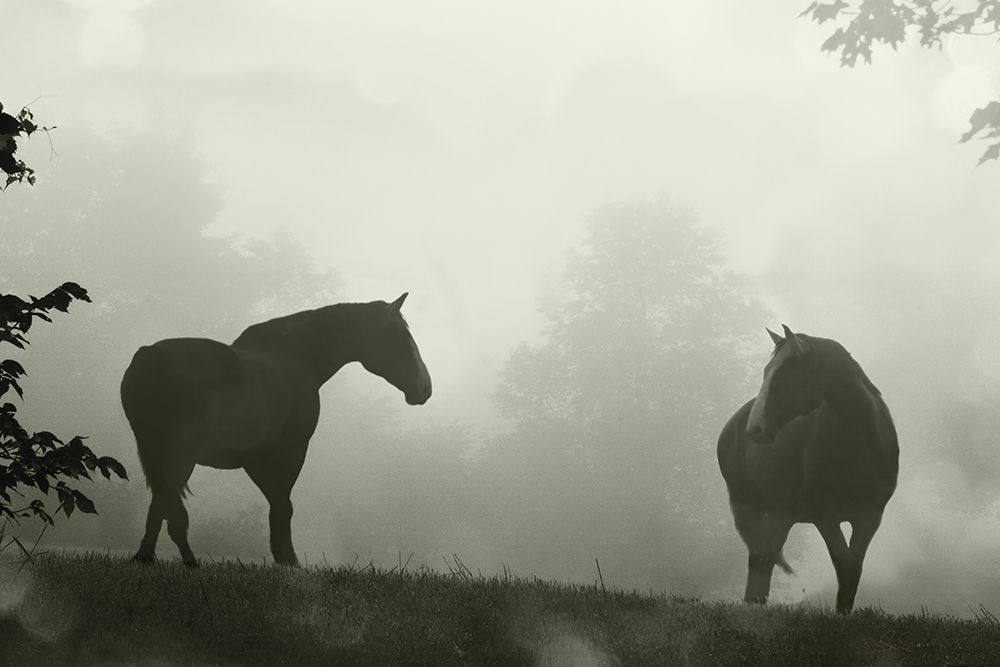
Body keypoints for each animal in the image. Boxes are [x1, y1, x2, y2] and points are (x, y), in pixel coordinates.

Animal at [120, 293, 431, 567]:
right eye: (401, 335)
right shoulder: (289, 451)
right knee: (166, 502)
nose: (425, 388)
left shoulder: (256, 459)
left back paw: (165, 558)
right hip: (179, 455)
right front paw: (288, 560)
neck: (293, 360)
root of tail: (149, 355)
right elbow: (283, 504)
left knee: (165, 504)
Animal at [716, 325, 898, 614]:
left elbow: (853, 569)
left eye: (785, 372)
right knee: (759, 558)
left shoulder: (870, 518)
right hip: (749, 505)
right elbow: (843, 564)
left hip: (781, 514)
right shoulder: (826, 518)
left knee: (765, 558)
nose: (754, 428)